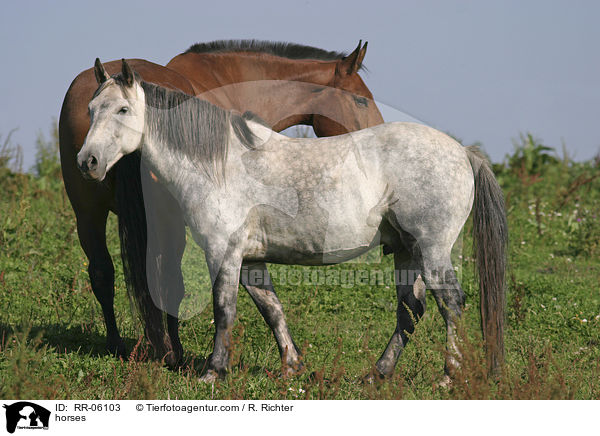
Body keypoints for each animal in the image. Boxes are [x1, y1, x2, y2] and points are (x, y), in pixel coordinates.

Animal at [58, 40, 382, 364]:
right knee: (169, 279)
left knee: (103, 273)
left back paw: (118, 345)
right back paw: (174, 352)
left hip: (88, 213)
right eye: (361, 100)